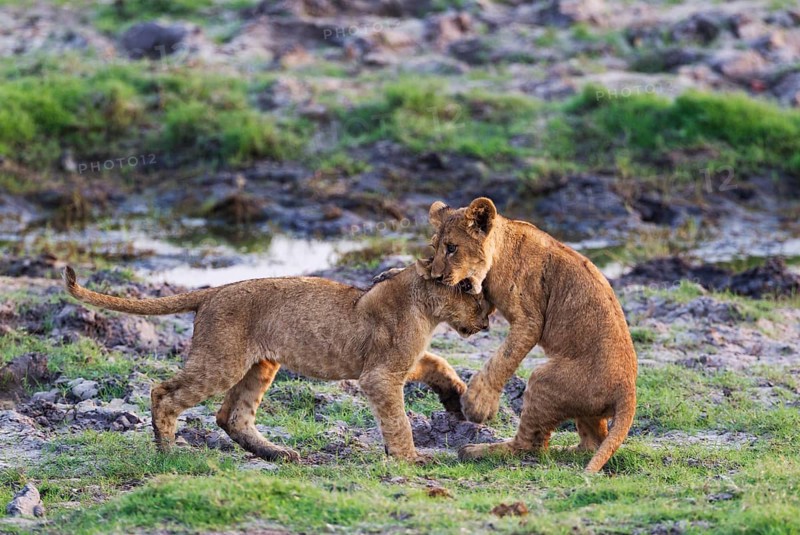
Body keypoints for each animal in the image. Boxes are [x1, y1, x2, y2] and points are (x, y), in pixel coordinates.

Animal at [63, 263, 493, 462]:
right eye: (472, 293)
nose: (488, 321)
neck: (424, 304)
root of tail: (213, 291)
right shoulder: (379, 374)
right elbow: (398, 421)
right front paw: (412, 458)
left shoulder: (402, 360)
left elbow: (437, 362)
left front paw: (456, 397)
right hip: (222, 361)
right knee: (163, 394)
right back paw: (169, 451)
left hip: (260, 364)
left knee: (232, 417)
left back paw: (278, 454)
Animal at [423, 197, 637, 473]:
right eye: (434, 247)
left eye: (452, 248)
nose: (436, 277)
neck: (499, 251)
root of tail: (627, 391)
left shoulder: (530, 320)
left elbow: (503, 359)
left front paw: (477, 403)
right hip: (585, 410)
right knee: (591, 444)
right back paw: (565, 450)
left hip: (542, 380)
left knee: (528, 446)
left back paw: (475, 450)